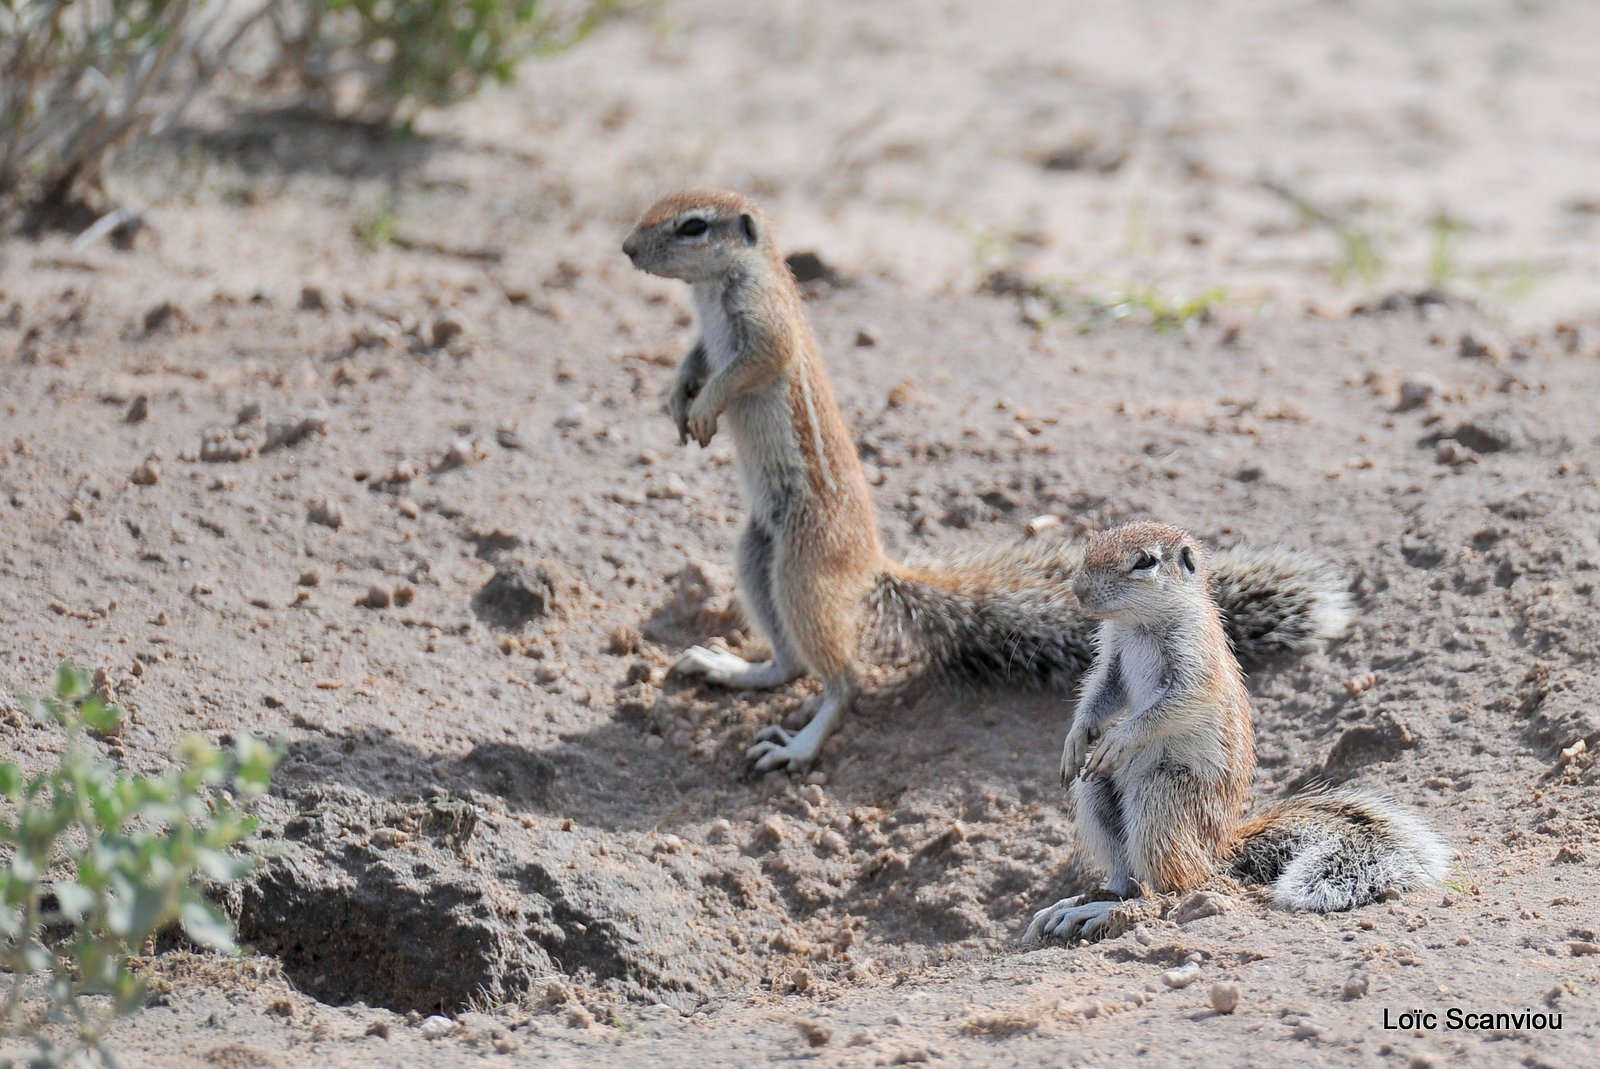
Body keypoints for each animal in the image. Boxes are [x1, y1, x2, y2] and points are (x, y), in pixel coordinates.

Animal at [624, 192, 1350, 771]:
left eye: (692, 225)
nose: (627, 249)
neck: (713, 291)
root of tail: (871, 564)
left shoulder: (766, 326)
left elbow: (747, 367)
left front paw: (705, 405)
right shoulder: (705, 337)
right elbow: (693, 358)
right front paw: (677, 398)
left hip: (802, 565)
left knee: (844, 680)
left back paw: (800, 744)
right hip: (757, 548)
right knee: (791, 657)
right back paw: (736, 668)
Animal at [1024, 521, 1452, 940]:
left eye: (1145, 561)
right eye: (1095, 541)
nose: (1079, 590)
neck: (1138, 624)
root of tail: (1220, 847)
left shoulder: (1195, 664)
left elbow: (1169, 706)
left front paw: (1119, 739)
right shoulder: (1112, 658)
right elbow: (1100, 694)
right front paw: (1076, 740)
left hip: (1161, 798)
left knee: (1177, 885)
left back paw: (1104, 910)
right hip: (1097, 789)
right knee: (1126, 870)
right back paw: (1078, 904)